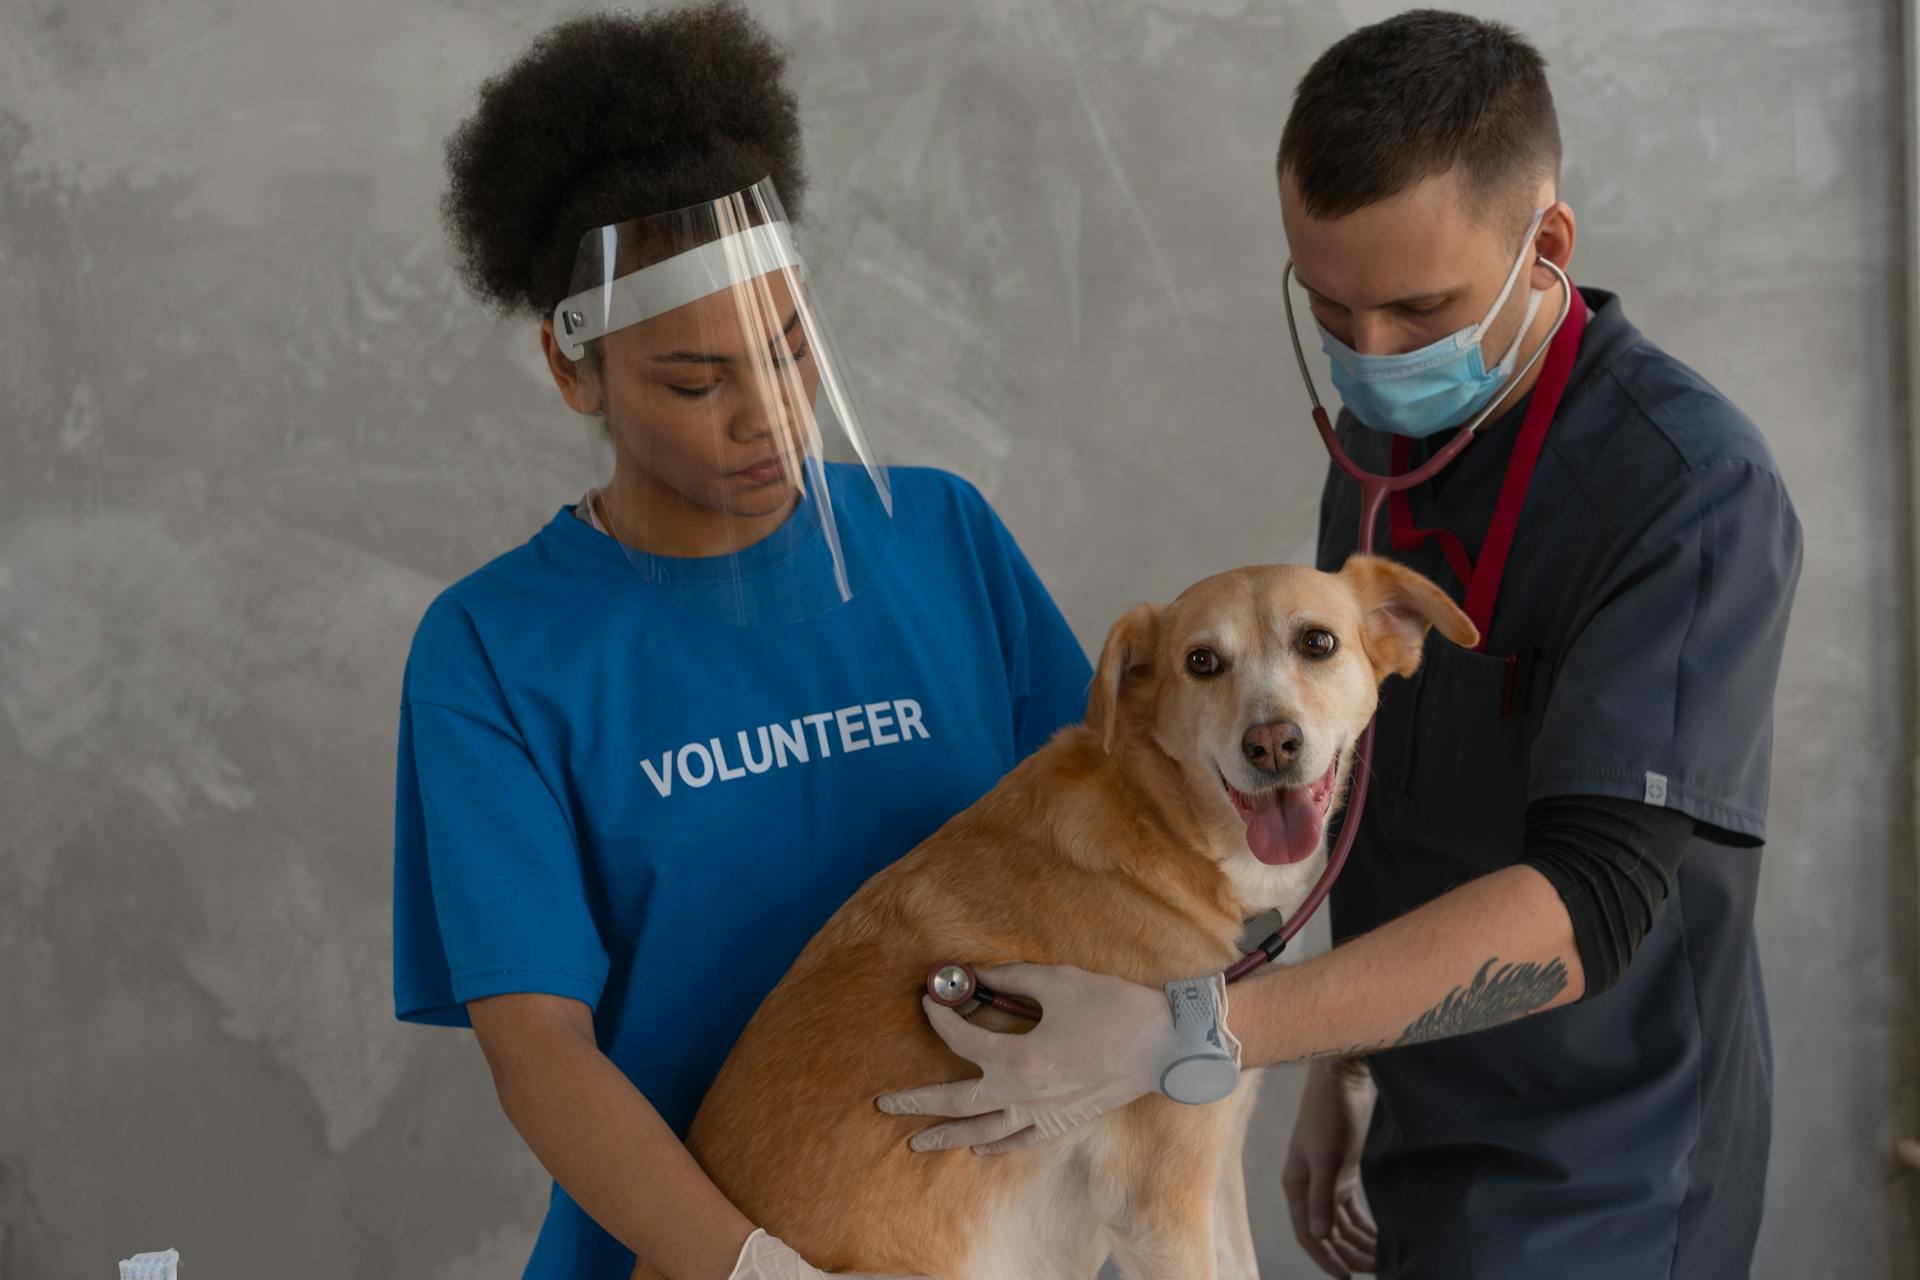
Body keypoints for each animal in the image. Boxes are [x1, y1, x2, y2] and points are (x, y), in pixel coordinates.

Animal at [637, 560, 1474, 1280]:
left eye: (1318, 643)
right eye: (1202, 662)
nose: (1271, 743)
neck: (1165, 836)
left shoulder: (1216, 1170)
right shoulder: (1159, 1209)